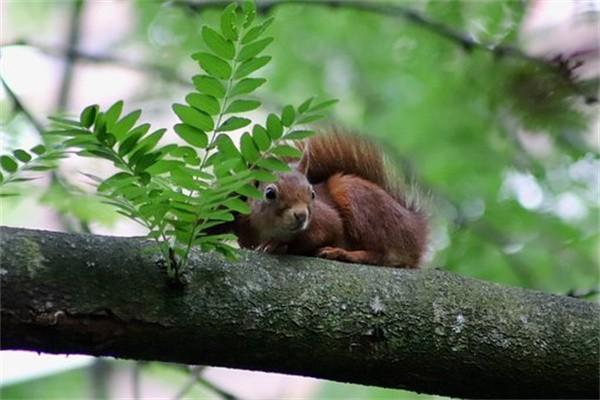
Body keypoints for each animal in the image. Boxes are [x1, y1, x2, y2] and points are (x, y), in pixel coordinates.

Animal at [211, 130, 426, 268]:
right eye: (270, 193)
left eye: (312, 193)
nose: (301, 215)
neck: (272, 228)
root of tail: (416, 227)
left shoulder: (327, 221)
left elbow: (320, 235)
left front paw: (278, 245)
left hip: (357, 197)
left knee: (383, 254)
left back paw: (342, 254)